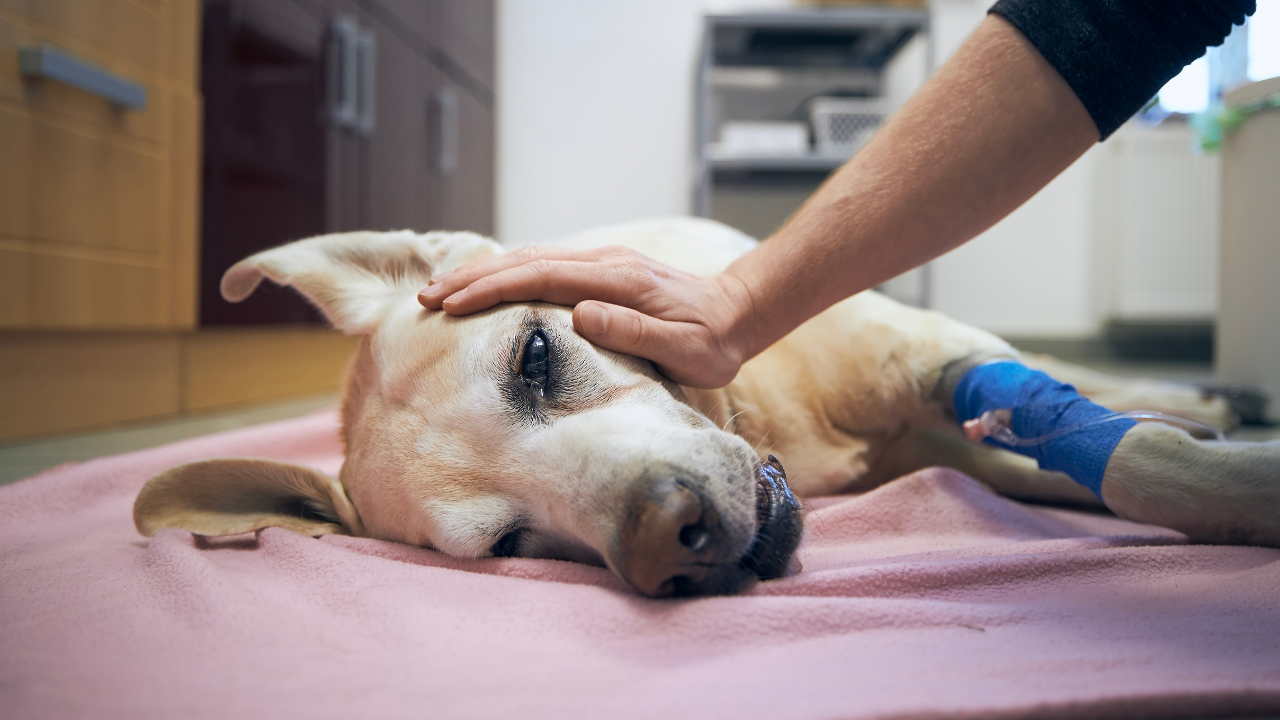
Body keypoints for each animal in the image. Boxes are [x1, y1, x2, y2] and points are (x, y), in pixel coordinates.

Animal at [132, 217, 1280, 594]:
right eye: (509, 544)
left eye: (535, 356)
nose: (664, 538)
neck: (770, 424)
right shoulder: (959, 442)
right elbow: (1116, 464)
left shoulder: (931, 357)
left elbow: (1141, 461)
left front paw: (1237, 473)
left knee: (1079, 382)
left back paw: (1202, 391)